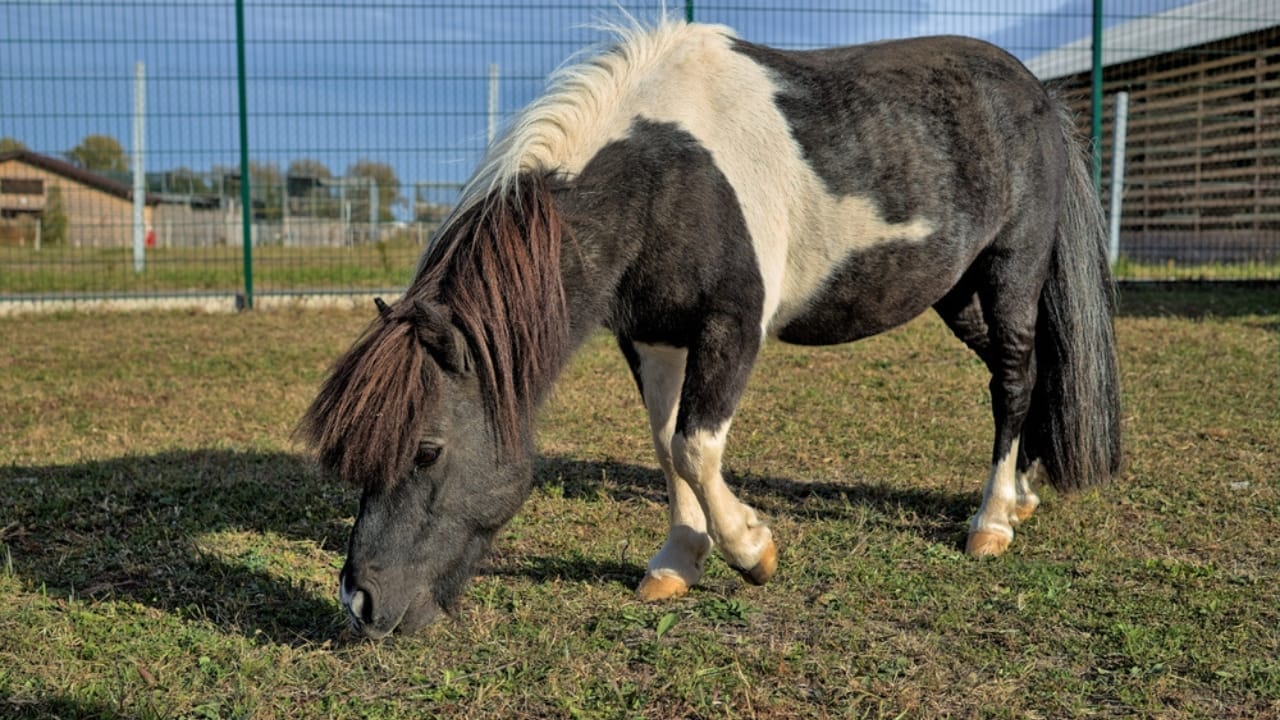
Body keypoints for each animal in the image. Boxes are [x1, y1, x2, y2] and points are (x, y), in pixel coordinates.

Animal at [299, 19, 1121, 640]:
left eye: (429, 449)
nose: (359, 603)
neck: (664, 176)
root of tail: (1039, 94)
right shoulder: (651, 336)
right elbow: (667, 445)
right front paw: (675, 563)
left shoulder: (732, 327)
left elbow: (698, 446)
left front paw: (753, 553)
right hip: (954, 292)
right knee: (1024, 377)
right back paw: (1023, 493)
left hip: (1010, 272)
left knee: (1012, 379)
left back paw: (992, 522)